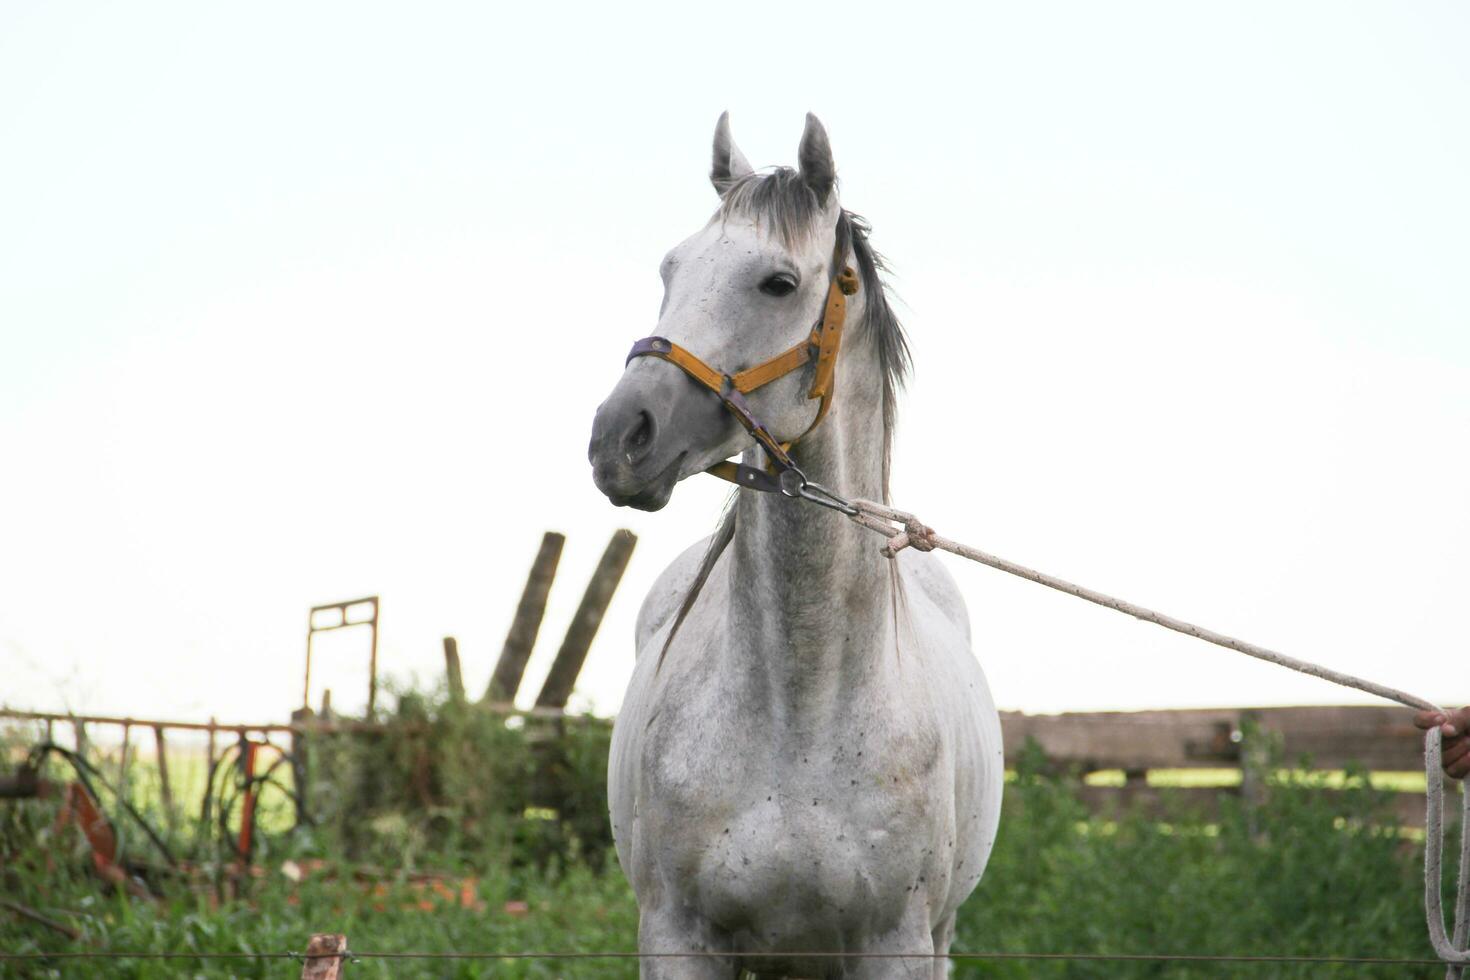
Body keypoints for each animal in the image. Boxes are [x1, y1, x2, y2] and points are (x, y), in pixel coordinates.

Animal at [590, 113, 1005, 975]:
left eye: (777, 283)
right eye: (670, 268)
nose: (618, 437)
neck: (800, 710)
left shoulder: (896, 945)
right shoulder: (678, 938)